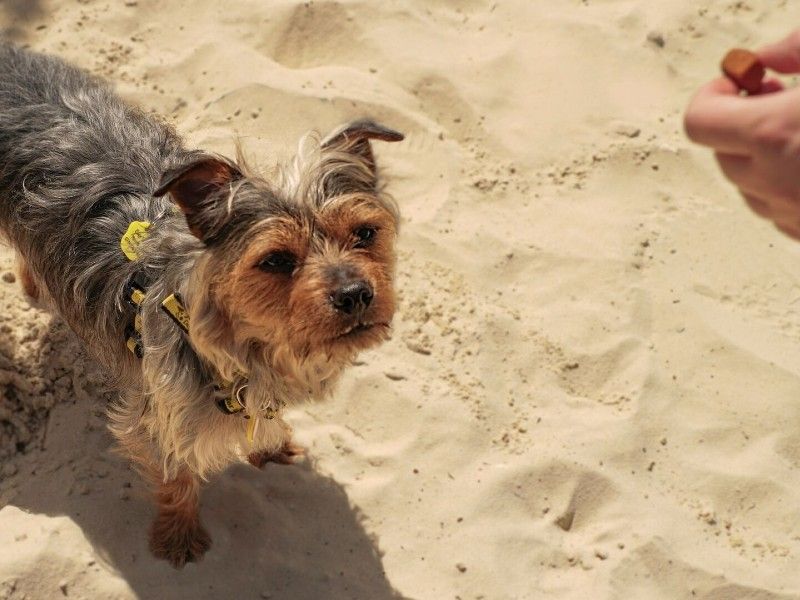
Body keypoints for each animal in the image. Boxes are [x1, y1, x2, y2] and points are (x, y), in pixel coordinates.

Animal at [0, 42, 404, 568]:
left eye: (365, 233)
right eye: (276, 260)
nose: (356, 294)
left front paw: (271, 445)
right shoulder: (158, 414)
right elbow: (177, 478)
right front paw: (178, 536)